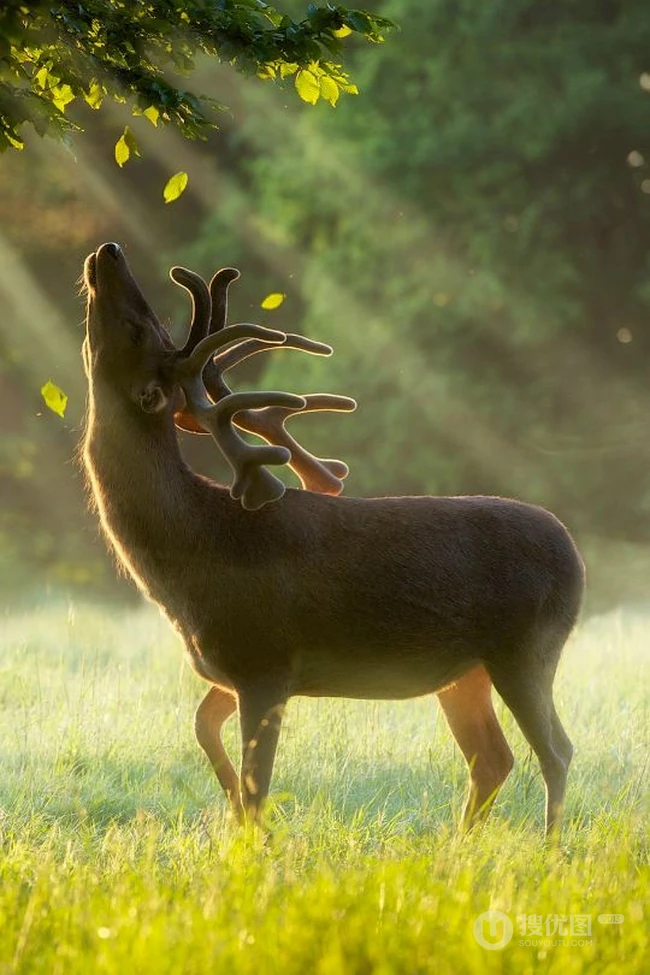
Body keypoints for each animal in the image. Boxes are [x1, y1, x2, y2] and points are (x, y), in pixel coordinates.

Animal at [81, 241, 585, 838]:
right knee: (493, 757)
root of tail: (574, 556)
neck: (191, 557)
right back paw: (460, 846)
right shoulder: (232, 669)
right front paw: (235, 817)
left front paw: (254, 840)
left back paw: (549, 848)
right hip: (466, 672)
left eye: (140, 329)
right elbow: (204, 729)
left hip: (527, 648)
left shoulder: (265, 661)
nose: (109, 251)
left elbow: (257, 785)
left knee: (555, 750)